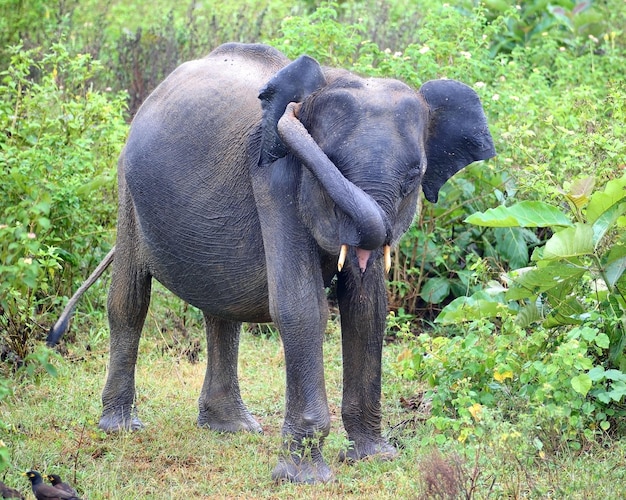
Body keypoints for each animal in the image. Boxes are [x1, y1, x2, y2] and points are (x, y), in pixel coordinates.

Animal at [46, 44, 494, 484]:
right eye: (331, 163)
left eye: (414, 176)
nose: (293, 111)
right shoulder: (275, 176)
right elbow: (302, 307)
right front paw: (305, 478)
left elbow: (367, 308)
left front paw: (374, 458)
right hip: (127, 187)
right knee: (130, 299)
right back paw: (121, 428)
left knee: (220, 304)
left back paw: (230, 428)